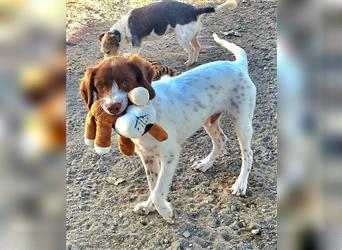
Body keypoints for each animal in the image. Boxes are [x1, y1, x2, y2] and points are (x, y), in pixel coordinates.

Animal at [98, 0, 238, 66]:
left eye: (108, 52)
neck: (121, 30)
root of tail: (194, 11)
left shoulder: (136, 44)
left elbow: (133, 54)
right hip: (193, 36)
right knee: (198, 48)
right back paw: (195, 61)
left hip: (182, 39)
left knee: (191, 50)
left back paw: (189, 62)